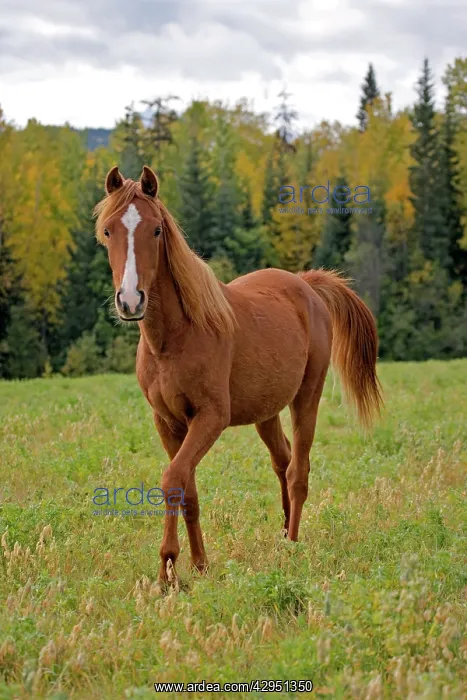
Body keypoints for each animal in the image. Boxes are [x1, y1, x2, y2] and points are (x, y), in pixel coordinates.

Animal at [94, 165, 383, 584]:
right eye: (108, 231)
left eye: (156, 230)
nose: (130, 301)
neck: (176, 338)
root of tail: (307, 286)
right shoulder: (167, 422)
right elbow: (187, 489)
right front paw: (199, 565)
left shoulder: (211, 417)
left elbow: (172, 479)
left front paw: (168, 569)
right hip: (267, 412)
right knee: (282, 462)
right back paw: (282, 533)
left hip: (306, 397)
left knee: (298, 470)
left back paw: (292, 545)